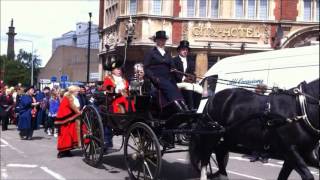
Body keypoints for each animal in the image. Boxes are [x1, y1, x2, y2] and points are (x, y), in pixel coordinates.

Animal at [190, 79, 318, 180]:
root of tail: (212, 97)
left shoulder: (296, 154)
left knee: (220, 153)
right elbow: (308, 176)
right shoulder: (290, 150)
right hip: (211, 136)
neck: (300, 107)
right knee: (205, 158)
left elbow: (283, 176)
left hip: (229, 136)